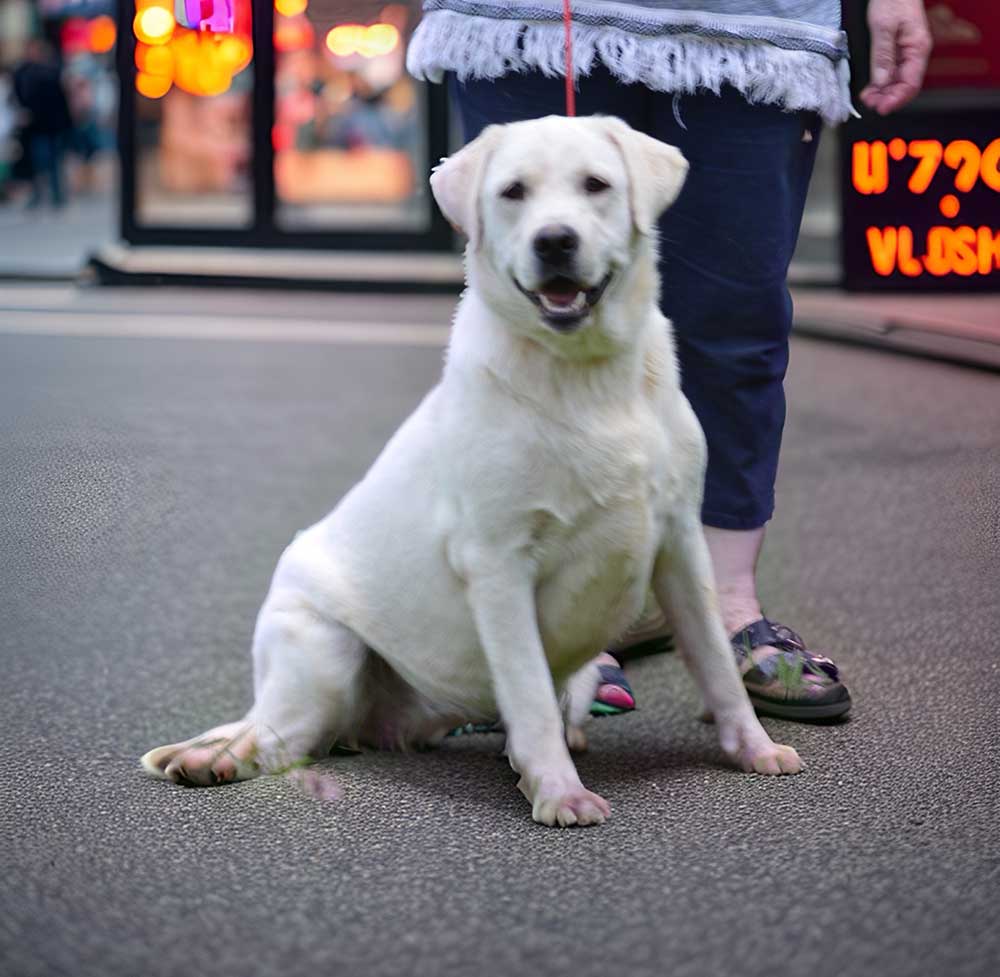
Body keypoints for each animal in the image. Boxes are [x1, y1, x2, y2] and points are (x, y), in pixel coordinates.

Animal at [141, 118, 800, 828]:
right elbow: (529, 692)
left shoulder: (680, 544)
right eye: (513, 192)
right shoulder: (499, 564)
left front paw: (752, 747)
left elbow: (716, 665)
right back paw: (215, 758)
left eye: (596, 184)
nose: (555, 240)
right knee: (277, 739)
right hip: (320, 647)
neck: (584, 372)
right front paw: (560, 793)